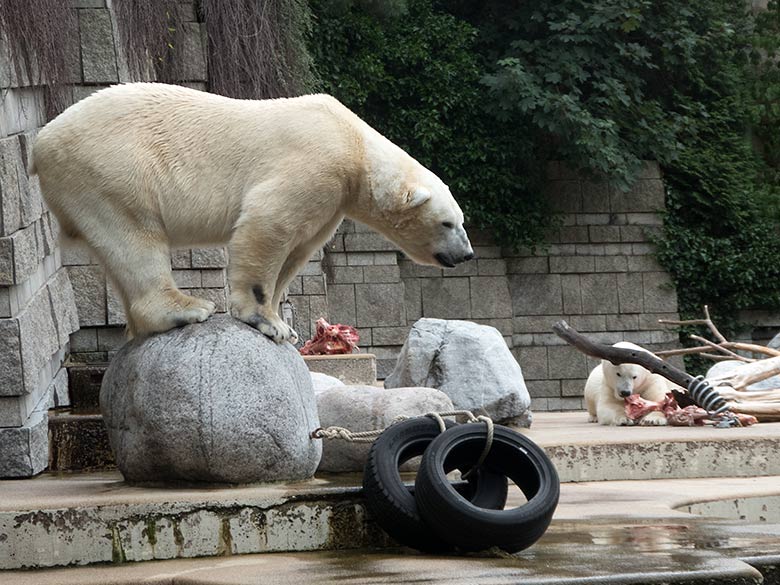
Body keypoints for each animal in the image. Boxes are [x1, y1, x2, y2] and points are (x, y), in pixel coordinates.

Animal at [30, 82, 476, 342]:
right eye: (447, 222)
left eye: (462, 222)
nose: (467, 253)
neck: (354, 144)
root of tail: (40, 142)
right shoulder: (314, 164)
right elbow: (269, 224)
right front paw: (268, 323)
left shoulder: (331, 202)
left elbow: (298, 250)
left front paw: (287, 324)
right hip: (112, 168)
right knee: (135, 238)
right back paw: (188, 308)